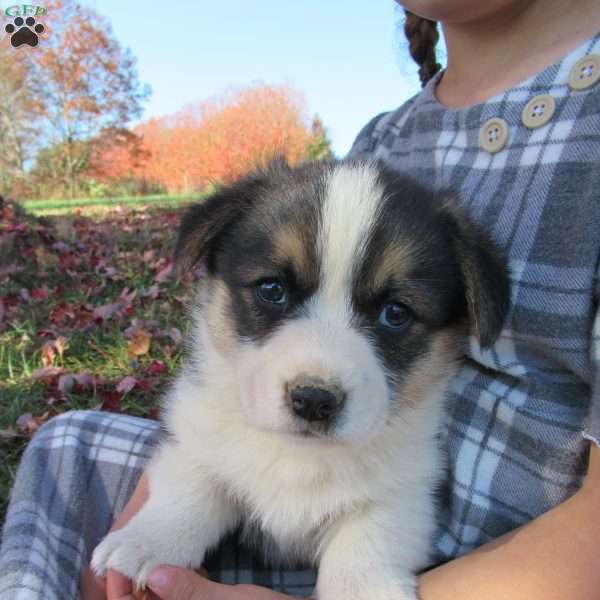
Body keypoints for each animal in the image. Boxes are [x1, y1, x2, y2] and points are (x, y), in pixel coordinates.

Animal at [91, 157, 508, 596]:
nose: (313, 400)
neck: (300, 455)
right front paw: (146, 542)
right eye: (272, 288)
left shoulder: (407, 488)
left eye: (396, 313)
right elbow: (192, 486)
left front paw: (360, 588)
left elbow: (368, 541)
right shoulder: (196, 435)